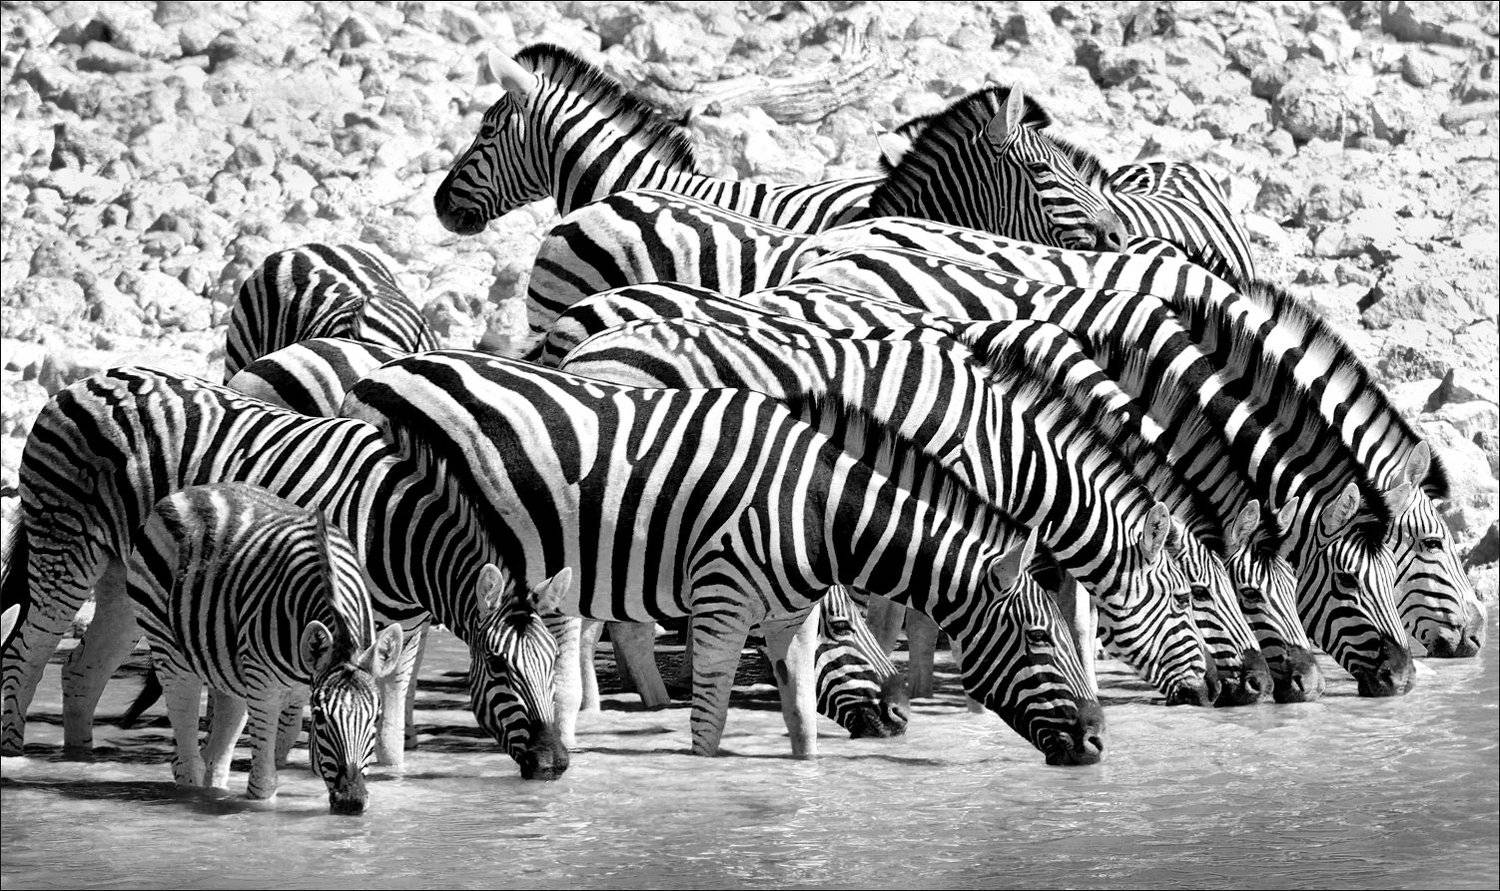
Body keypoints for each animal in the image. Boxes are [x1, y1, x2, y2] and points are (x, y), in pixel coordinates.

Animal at [126, 482, 403, 812]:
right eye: (320, 716)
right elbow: (263, 784)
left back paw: (213, 794)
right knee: (188, 760)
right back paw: (191, 797)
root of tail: (191, 491)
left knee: (216, 757)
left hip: (227, 670)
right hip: (168, 649)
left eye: (375, 717)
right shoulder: (264, 687)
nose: (352, 802)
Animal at [341, 350, 1111, 764]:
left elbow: (802, 726)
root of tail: (374, 373)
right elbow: (707, 730)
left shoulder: (786, 616)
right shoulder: (720, 601)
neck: (817, 508)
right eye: (1040, 638)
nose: (1098, 743)